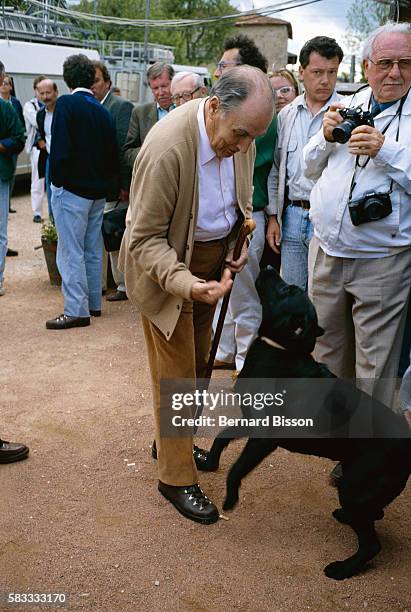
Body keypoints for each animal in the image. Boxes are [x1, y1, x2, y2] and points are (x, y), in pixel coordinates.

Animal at [204, 266, 410, 580]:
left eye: (286, 290)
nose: (268, 266)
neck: (280, 350)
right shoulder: (251, 422)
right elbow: (221, 437)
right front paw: (209, 461)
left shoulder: (263, 439)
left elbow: (237, 468)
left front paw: (230, 498)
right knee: (375, 514)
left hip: (355, 489)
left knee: (371, 544)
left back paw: (342, 568)